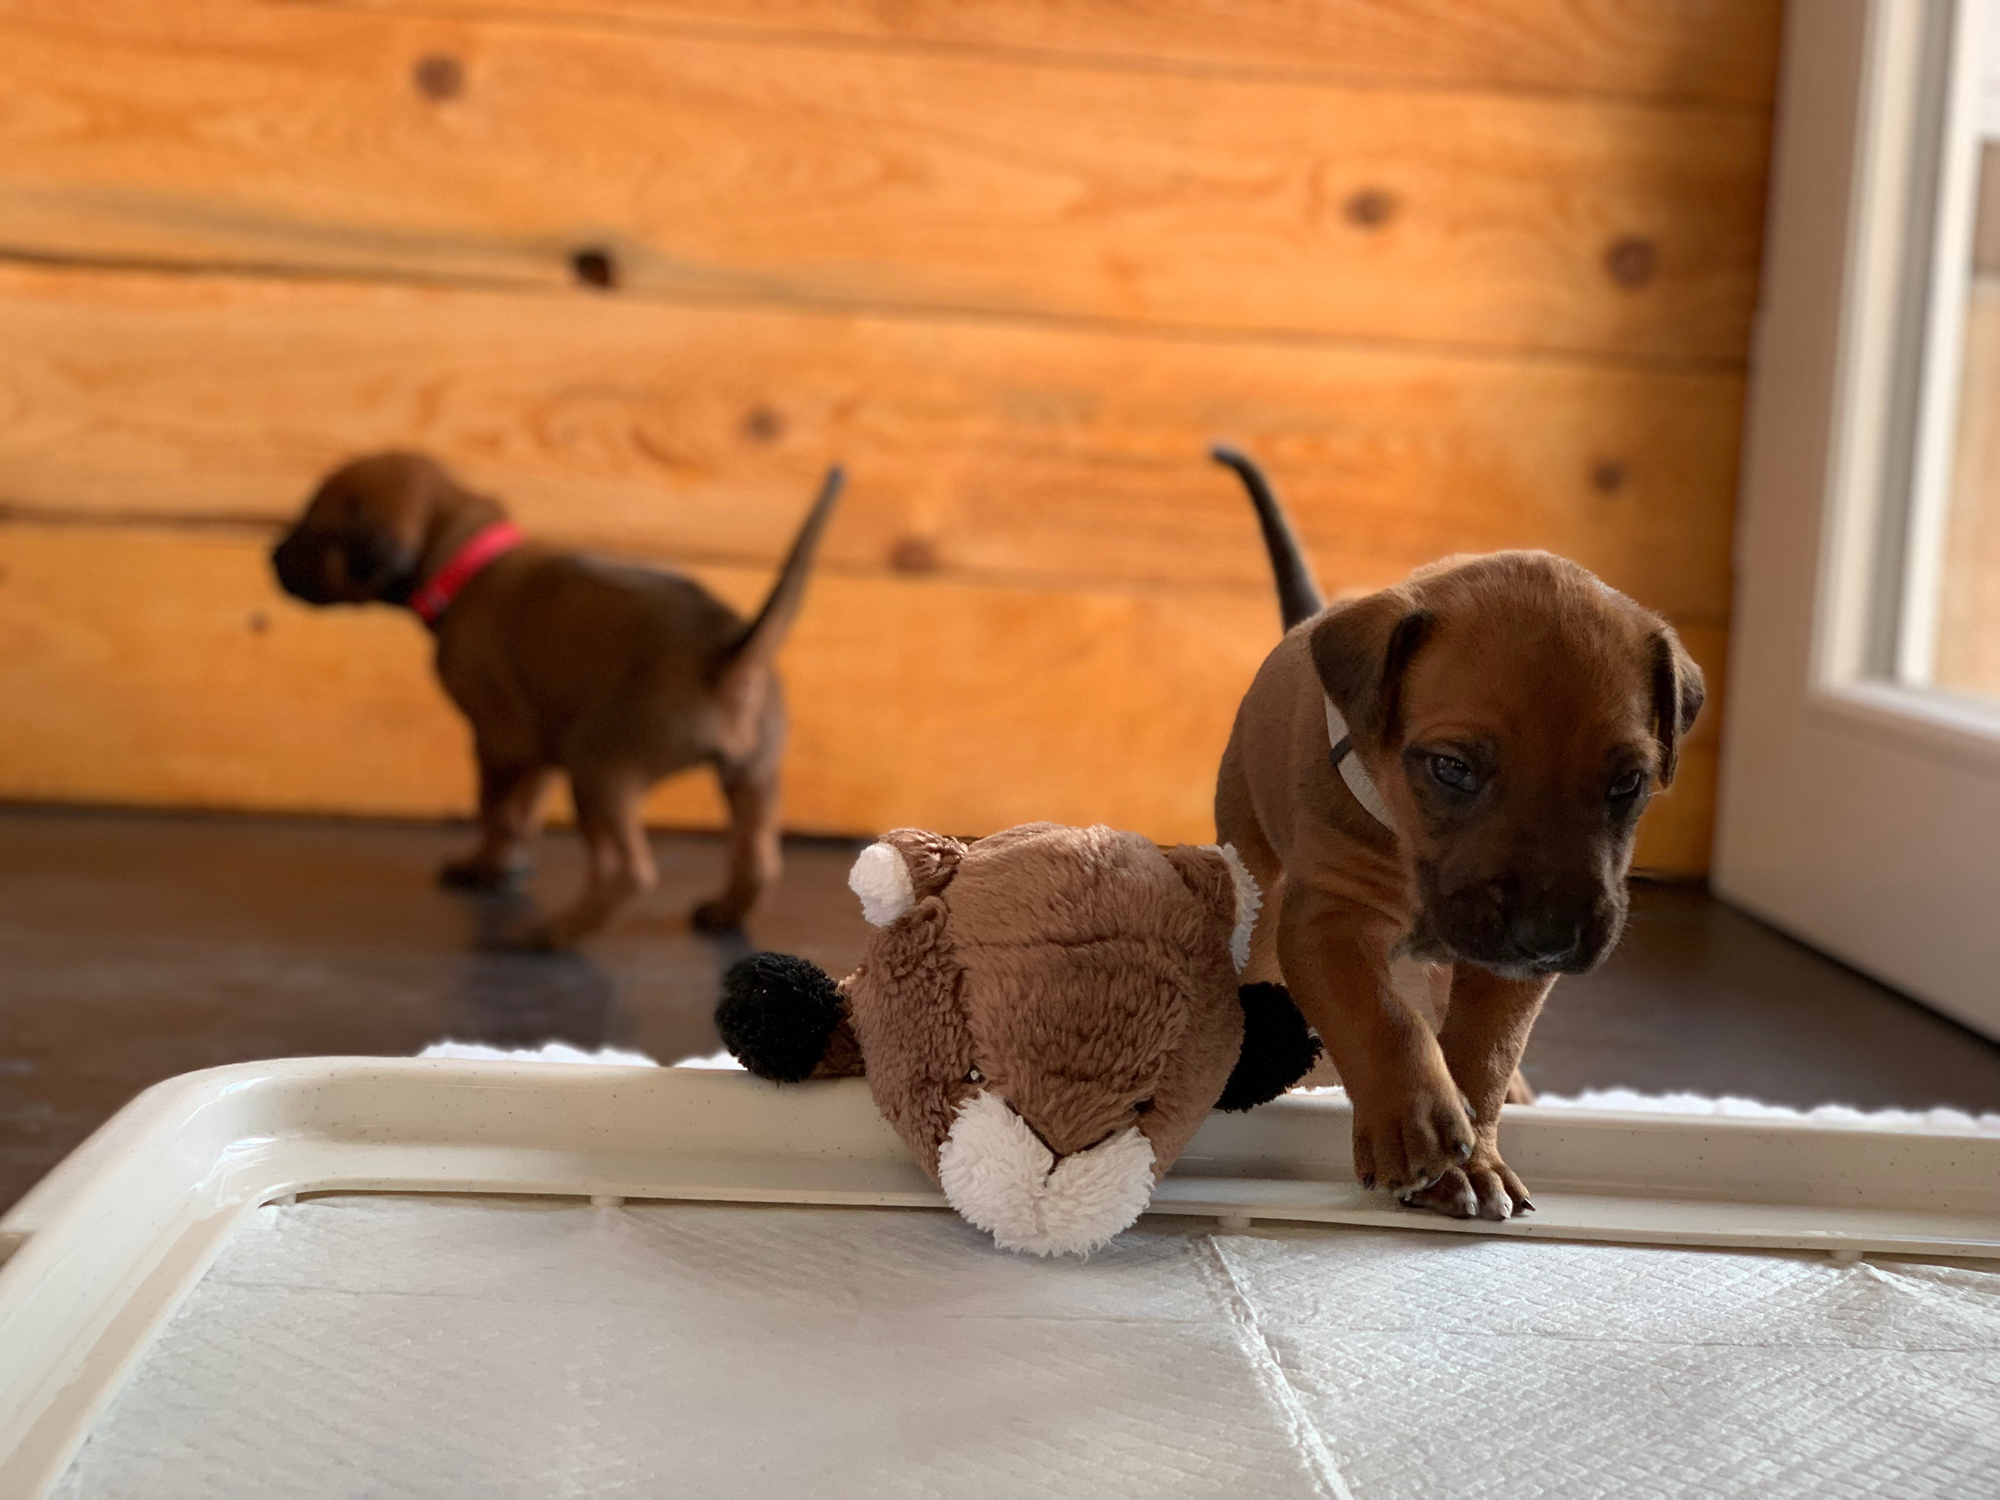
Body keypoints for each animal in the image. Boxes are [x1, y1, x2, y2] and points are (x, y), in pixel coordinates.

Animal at [272, 452, 842, 947]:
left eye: (313, 526)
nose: (271, 556)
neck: (467, 561)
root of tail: (729, 651)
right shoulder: (539, 742)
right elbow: (523, 812)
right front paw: (508, 866)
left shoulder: (498, 741)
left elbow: (495, 811)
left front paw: (486, 868)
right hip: (752, 773)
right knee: (758, 859)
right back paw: (722, 913)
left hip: (599, 766)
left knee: (624, 872)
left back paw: (547, 936)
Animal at [1210, 448, 1703, 1220]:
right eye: (1453, 769)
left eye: (1629, 782)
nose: (1549, 937)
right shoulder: (1328, 918)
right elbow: (1381, 1014)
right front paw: (1412, 1129)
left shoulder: (1507, 974)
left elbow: (1483, 1052)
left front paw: (1472, 1161)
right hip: (1255, 867)